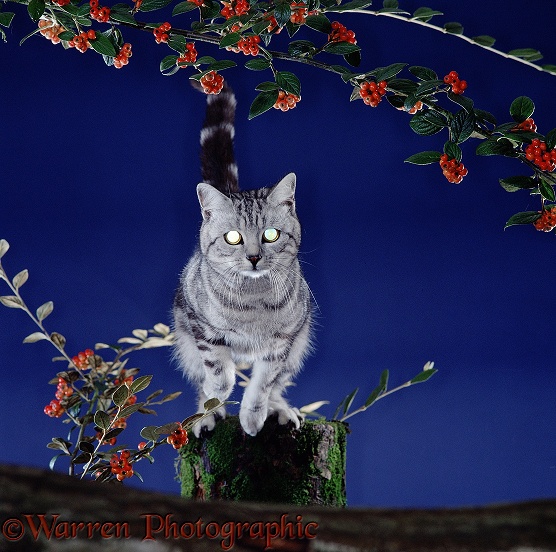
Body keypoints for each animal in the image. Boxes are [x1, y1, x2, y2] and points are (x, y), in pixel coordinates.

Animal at [174, 87, 312, 436]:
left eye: (271, 235)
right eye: (233, 237)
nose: (253, 257)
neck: (252, 304)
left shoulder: (283, 343)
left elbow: (263, 382)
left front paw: (253, 416)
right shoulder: (201, 329)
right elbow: (218, 374)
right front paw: (216, 398)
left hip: (300, 346)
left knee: (278, 385)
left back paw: (279, 409)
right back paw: (206, 414)